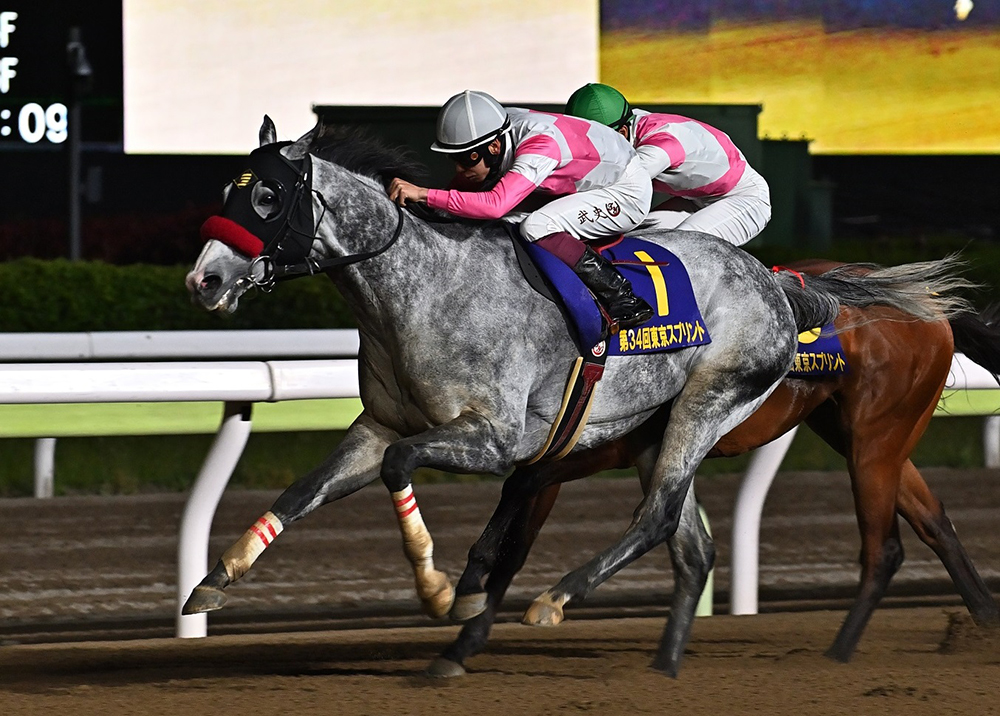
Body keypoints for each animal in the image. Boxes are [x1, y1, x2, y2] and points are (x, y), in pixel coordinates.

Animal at [429, 275, 1000, 677]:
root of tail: (932, 309)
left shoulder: (608, 446)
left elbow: (520, 500)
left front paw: (478, 607)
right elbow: (518, 535)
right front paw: (461, 638)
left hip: (874, 440)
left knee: (885, 549)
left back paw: (836, 656)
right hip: (860, 434)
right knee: (934, 521)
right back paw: (984, 626)